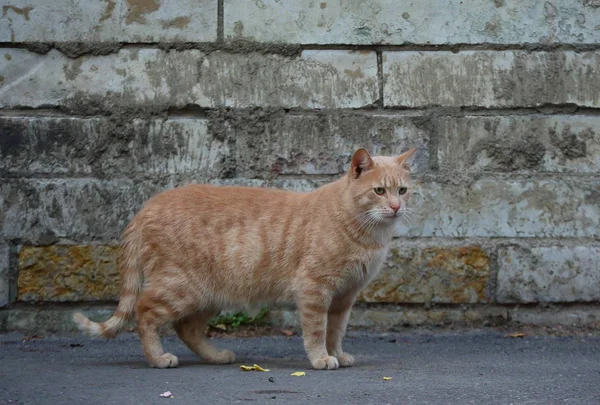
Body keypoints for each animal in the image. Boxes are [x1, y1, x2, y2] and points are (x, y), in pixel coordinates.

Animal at [74, 148, 418, 370]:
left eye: (402, 190)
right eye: (378, 191)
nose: (396, 207)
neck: (365, 232)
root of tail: (148, 205)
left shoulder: (345, 296)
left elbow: (337, 330)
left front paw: (337, 353)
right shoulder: (314, 289)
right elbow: (317, 330)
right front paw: (320, 357)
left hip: (208, 295)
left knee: (186, 328)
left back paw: (214, 356)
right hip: (181, 288)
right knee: (145, 312)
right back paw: (158, 359)